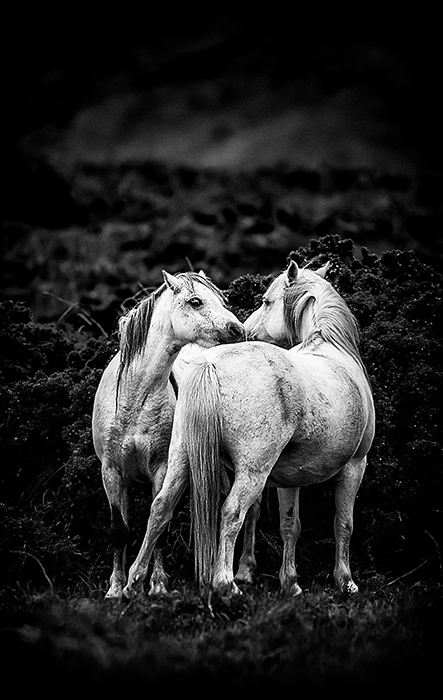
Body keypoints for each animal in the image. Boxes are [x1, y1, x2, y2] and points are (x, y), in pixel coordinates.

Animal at [92, 270, 245, 598]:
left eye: (222, 299)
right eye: (195, 301)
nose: (237, 329)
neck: (133, 401)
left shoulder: (161, 468)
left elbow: (159, 524)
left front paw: (158, 585)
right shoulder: (111, 471)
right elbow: (119, 530)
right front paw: (115, 589)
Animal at [121, 260, 375, 599]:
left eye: (266, 302)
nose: (243, 330)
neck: (333, 351)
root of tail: (210, 365)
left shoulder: (290, 478)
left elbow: (290, 526)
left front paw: (291, 584)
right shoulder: (355, 466)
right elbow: (343, 524)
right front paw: (345, 581)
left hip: (180, 459)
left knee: (160, 507)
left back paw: (133, 583)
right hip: (253, 472)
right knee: (231, 512)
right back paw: (225, 584)